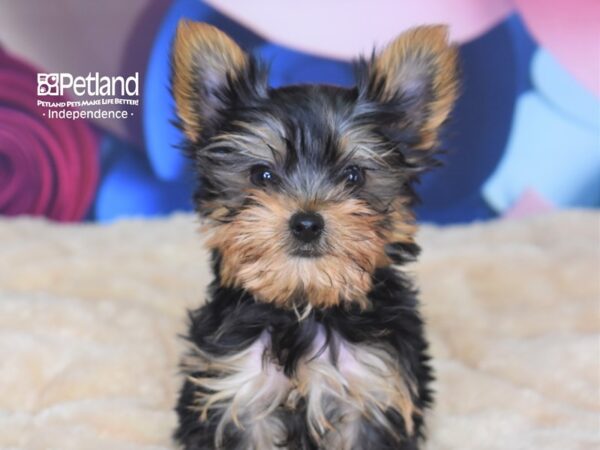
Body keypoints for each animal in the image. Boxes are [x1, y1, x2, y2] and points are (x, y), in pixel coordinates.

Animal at [171, 20, 458, 450]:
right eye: (262, 175)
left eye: (353, 176)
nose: (306, 222)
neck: (304, 304)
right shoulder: (235, 388)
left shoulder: (375, 389)